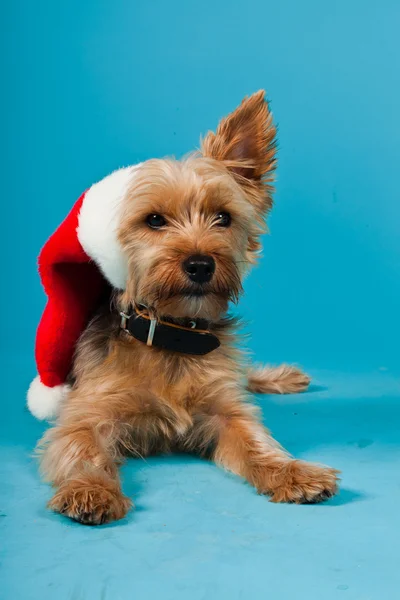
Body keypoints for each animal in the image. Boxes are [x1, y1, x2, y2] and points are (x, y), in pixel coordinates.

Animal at [37, 90, 340, 524]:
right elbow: (83, 448)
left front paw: (292, 472)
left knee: (244, 376)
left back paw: (280, 377)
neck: (173, 335)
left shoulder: (226, 410)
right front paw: (91, 489)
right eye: (154, 220)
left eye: (223, 217)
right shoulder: (86, 414)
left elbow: (256, 441)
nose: (200, 264)